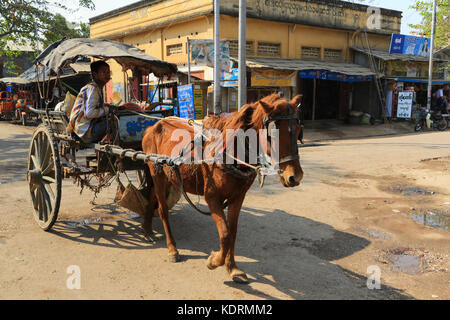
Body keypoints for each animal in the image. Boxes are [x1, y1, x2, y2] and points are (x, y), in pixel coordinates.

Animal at [141, 93, 302, 282]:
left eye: (298, 130)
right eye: (273, 135)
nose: (295, 176)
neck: (230, 153)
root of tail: (153, 126)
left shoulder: (238, 196)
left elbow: (232, 231)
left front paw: (232, 267)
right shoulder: (212, 197)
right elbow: (225, 234)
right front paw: (214, 261)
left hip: (167, 176)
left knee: (152, 196)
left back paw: (147, 229)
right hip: (157, 173)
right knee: (163, 210)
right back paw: (172, 248)